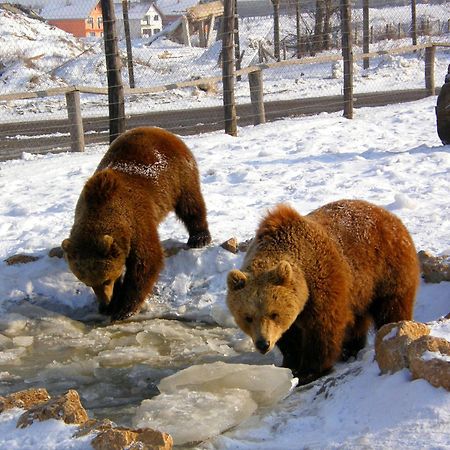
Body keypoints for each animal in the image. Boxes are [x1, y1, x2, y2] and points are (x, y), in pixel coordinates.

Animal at [60, 126, 213, 322]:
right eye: (88, 283)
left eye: (106, 280)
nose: (105, 302)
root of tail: (159, 130)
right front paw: (111, 305)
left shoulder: (137, 222)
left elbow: (146, 262)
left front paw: (123, 308)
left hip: (179, 176)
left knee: (191, 205)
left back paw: (199, 238)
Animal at [227, 201, 420, 386]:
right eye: (247, 317)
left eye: (274, 313)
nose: (263, 344)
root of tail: (389, 215)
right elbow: (289, 336)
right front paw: (290, 364)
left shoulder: (323, 283)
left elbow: (323, 328)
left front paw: (310, 371)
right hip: (359, 289)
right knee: (358, 318)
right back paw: (350, 349)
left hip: (387, 268)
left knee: (391, 306)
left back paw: (391, 329)